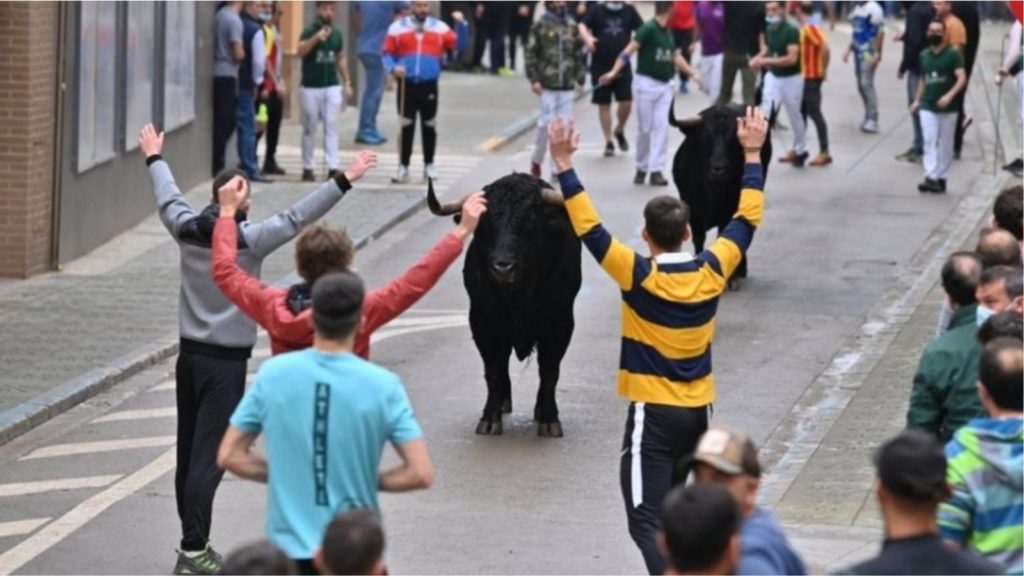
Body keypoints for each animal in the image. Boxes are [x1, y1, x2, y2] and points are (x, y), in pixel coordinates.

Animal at [425, 174, 585, 434]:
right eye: (484, 221)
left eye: (530, 219)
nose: (502, 267)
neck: (518, 295)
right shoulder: (483, 323)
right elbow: (494, 371)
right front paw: (490, 418)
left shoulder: (561, 323)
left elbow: (549, 370)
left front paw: (549, 419)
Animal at [667, 101, 770, 286]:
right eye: (705, 136)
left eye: (734, 137)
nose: (718, 168)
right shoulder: (692, 210)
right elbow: (698, 238)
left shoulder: (730, 210)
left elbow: (727, 234)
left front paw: (732, 277)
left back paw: (741, 269)